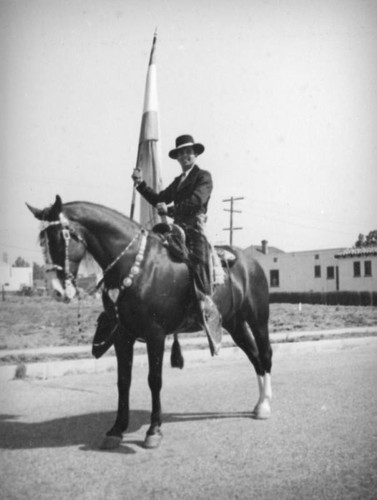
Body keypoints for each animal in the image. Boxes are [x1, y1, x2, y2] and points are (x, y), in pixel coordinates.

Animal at [27, 195, 274, 450]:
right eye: (42, 241)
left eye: (60, 237)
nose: (57, 291)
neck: (137, 264)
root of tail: (251, 262)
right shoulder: (122, 336)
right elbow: (123, 381)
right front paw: (116, 429)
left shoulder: (155, 334)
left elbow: (154, 380)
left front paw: (154, 430)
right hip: (234, 323)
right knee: (254, 356)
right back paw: (258, 404)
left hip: (258, 318)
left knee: (265, 354)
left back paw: (265, 406)